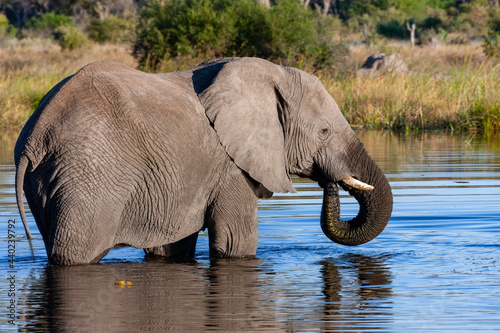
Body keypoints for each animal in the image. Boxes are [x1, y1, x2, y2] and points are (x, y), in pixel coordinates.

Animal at [14, 57, 390, 264]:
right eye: (324, 131)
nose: (330, 184)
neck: (271, 75)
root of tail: (35, 135)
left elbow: (171, 248)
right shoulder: (230, 167)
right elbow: (237, 243)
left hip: (52, 178)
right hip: (89, 174)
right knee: (75, 253)